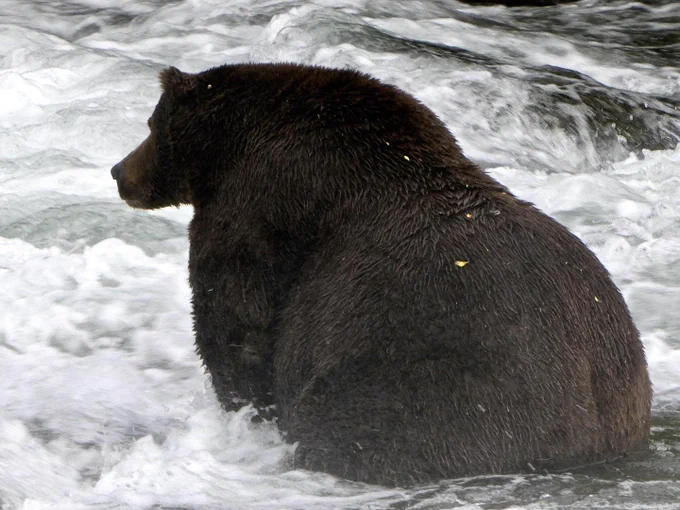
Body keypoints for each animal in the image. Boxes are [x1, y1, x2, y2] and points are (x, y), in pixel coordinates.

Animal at [110, 63, 652, 486]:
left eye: (151, 123)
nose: (118, 171)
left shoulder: (256, 208)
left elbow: (236, 318)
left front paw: (245, 411)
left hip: (431, 386)